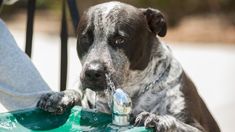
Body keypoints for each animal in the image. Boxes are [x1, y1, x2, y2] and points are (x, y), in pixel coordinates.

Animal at [37, 1, 220, 132]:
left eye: (120, 39)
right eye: (85, 38)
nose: (93, 72)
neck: (132, 90)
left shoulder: (197, 127)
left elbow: (177, 122)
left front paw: (159, 118)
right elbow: (77, 91)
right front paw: (61, 96)